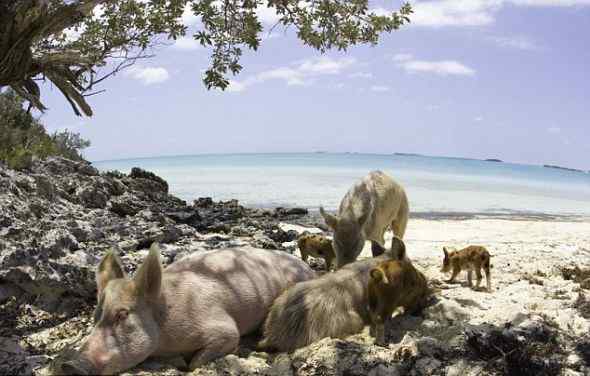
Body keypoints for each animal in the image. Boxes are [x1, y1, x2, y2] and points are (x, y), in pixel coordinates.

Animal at [53, 242, 316, 374]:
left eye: (122, 314)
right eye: (95, 315)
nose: (70, 366)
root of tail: (309, 268)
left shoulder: (223, 327)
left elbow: (198, 361)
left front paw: (184, 363)